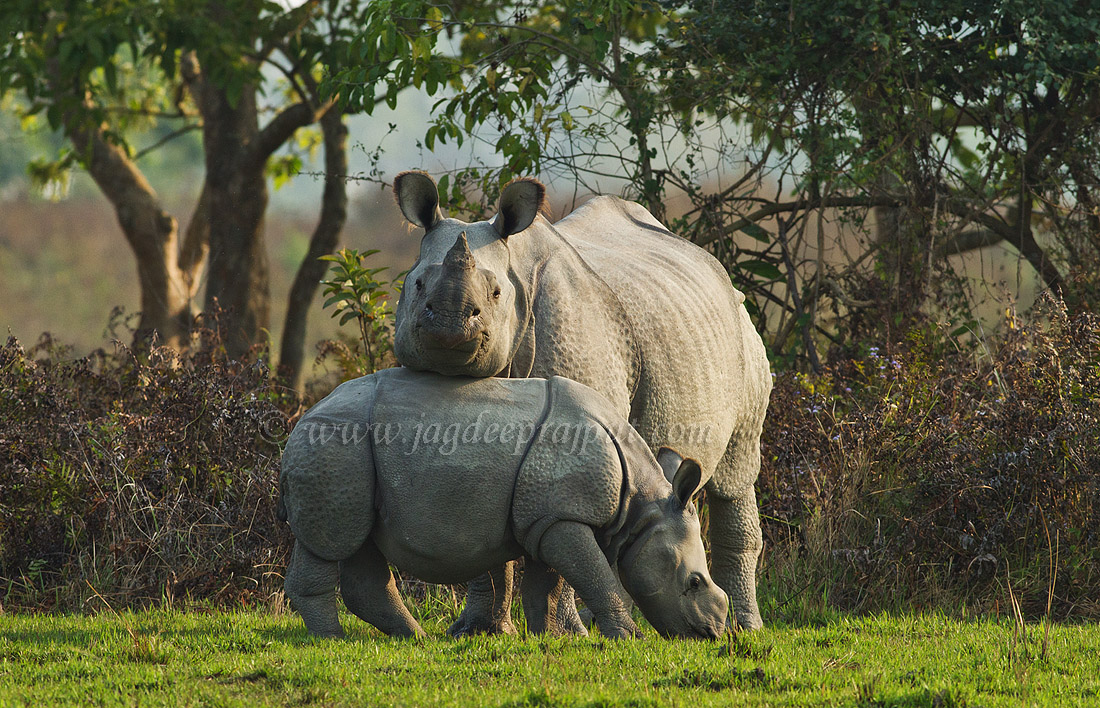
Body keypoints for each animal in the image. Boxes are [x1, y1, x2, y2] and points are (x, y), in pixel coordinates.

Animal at [280, 367, 728, 639]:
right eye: (693, 582)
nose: (712, 634)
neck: (639, 508)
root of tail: (302, 418)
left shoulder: (546, 518)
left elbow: (548, 587)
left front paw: (553, 640)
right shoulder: (563, 517)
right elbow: (598, 577)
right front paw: (627, 638)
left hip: (348, 453)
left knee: (360, 544)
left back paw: (414, 639)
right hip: (335, 445)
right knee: (330, 541)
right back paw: (332, 641)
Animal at [391, 172, 773, 632]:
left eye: (496, 293)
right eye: (415, 285)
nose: (448, 325)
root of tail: (710, 262)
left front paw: (564, 632)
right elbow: (476, 524)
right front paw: (479, 630)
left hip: (742, 332)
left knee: (736, 472)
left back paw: (746, 628)